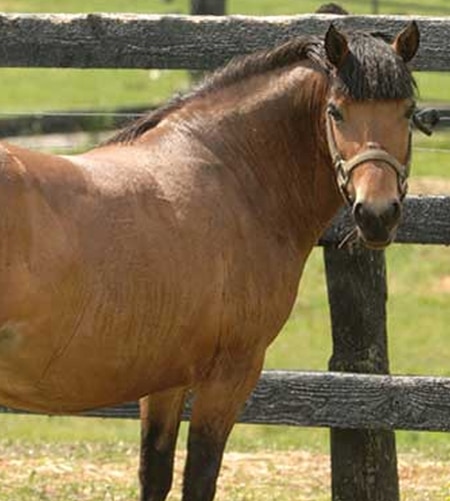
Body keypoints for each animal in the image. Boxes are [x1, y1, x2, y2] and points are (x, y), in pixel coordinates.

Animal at [0, 21, 422, 498]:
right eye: (336, 112)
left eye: (407, 111)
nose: (377, 214)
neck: (232, 173)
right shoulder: (230, 375)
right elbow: (199, 477)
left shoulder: (165, 381)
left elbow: (156, 474)